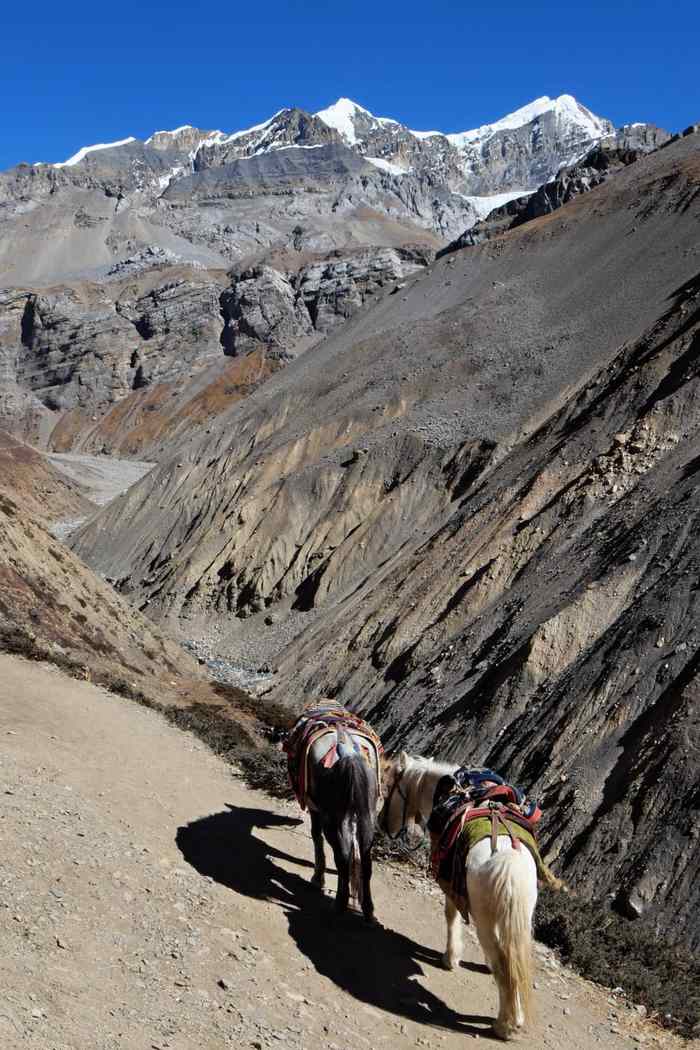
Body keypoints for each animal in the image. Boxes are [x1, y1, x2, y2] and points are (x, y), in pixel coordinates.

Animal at [379, 751, 541, 1037]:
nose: (380, 823)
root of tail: (507, 861)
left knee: (504, 964)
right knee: (513, 959)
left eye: (390, 788)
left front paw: (450, 957)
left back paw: (504, 1025)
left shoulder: (448, 881)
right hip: (520, 915)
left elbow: (450, 914)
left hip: (484, 920)